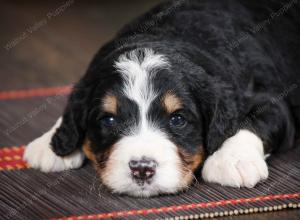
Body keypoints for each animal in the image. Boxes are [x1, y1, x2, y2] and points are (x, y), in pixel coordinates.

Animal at [24, 0, 300, 196]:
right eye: (109, 120)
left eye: (177, 119)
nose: (142, 169)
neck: (166, 35)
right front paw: (49, 142)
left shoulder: (271, 99)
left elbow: (254, 120)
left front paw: (231, 159)